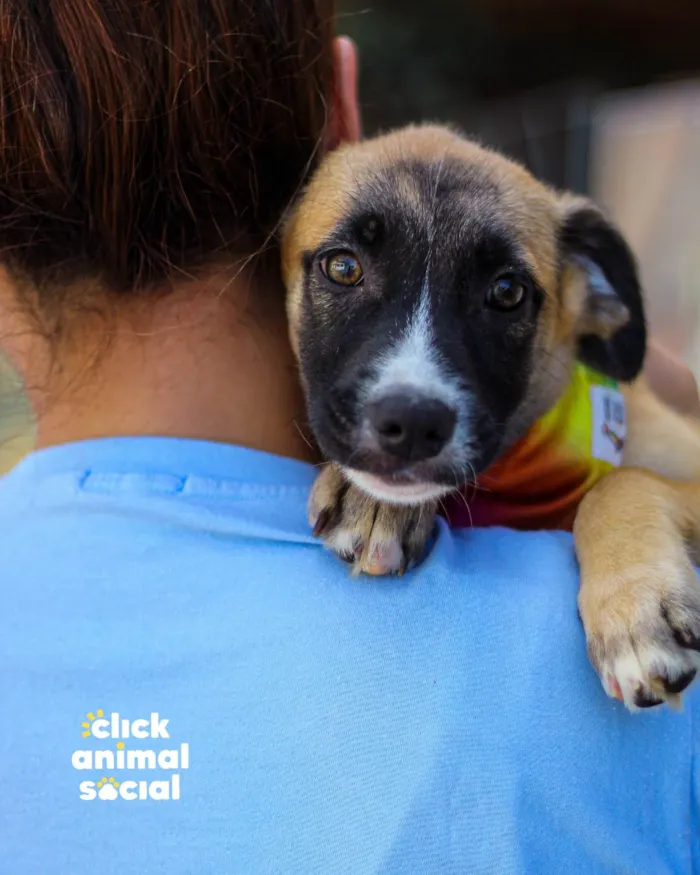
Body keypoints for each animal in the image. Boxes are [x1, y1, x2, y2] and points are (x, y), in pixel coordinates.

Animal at [282, 123, 700, 712]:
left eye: (507, 292)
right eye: (343, 267)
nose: (412, 424)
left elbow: (621, 484)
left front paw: (635, 608)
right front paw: (368, 500)